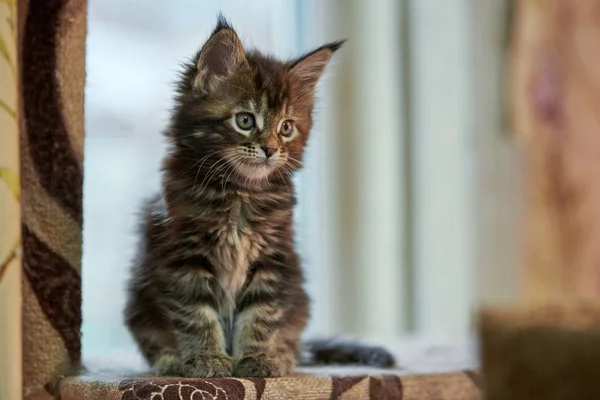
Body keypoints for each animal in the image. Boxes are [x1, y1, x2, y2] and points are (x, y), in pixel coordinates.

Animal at [123, 16, 394, 378]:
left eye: (286, 128)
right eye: (245, 120)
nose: (270, 149)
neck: (241, 193)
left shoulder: (273, 259)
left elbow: (261, 316)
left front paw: (258, 358)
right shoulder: (183, 257)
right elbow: (197, 315)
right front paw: (206, 359)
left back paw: (283, 355)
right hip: (138, 303)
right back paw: (170, 360)